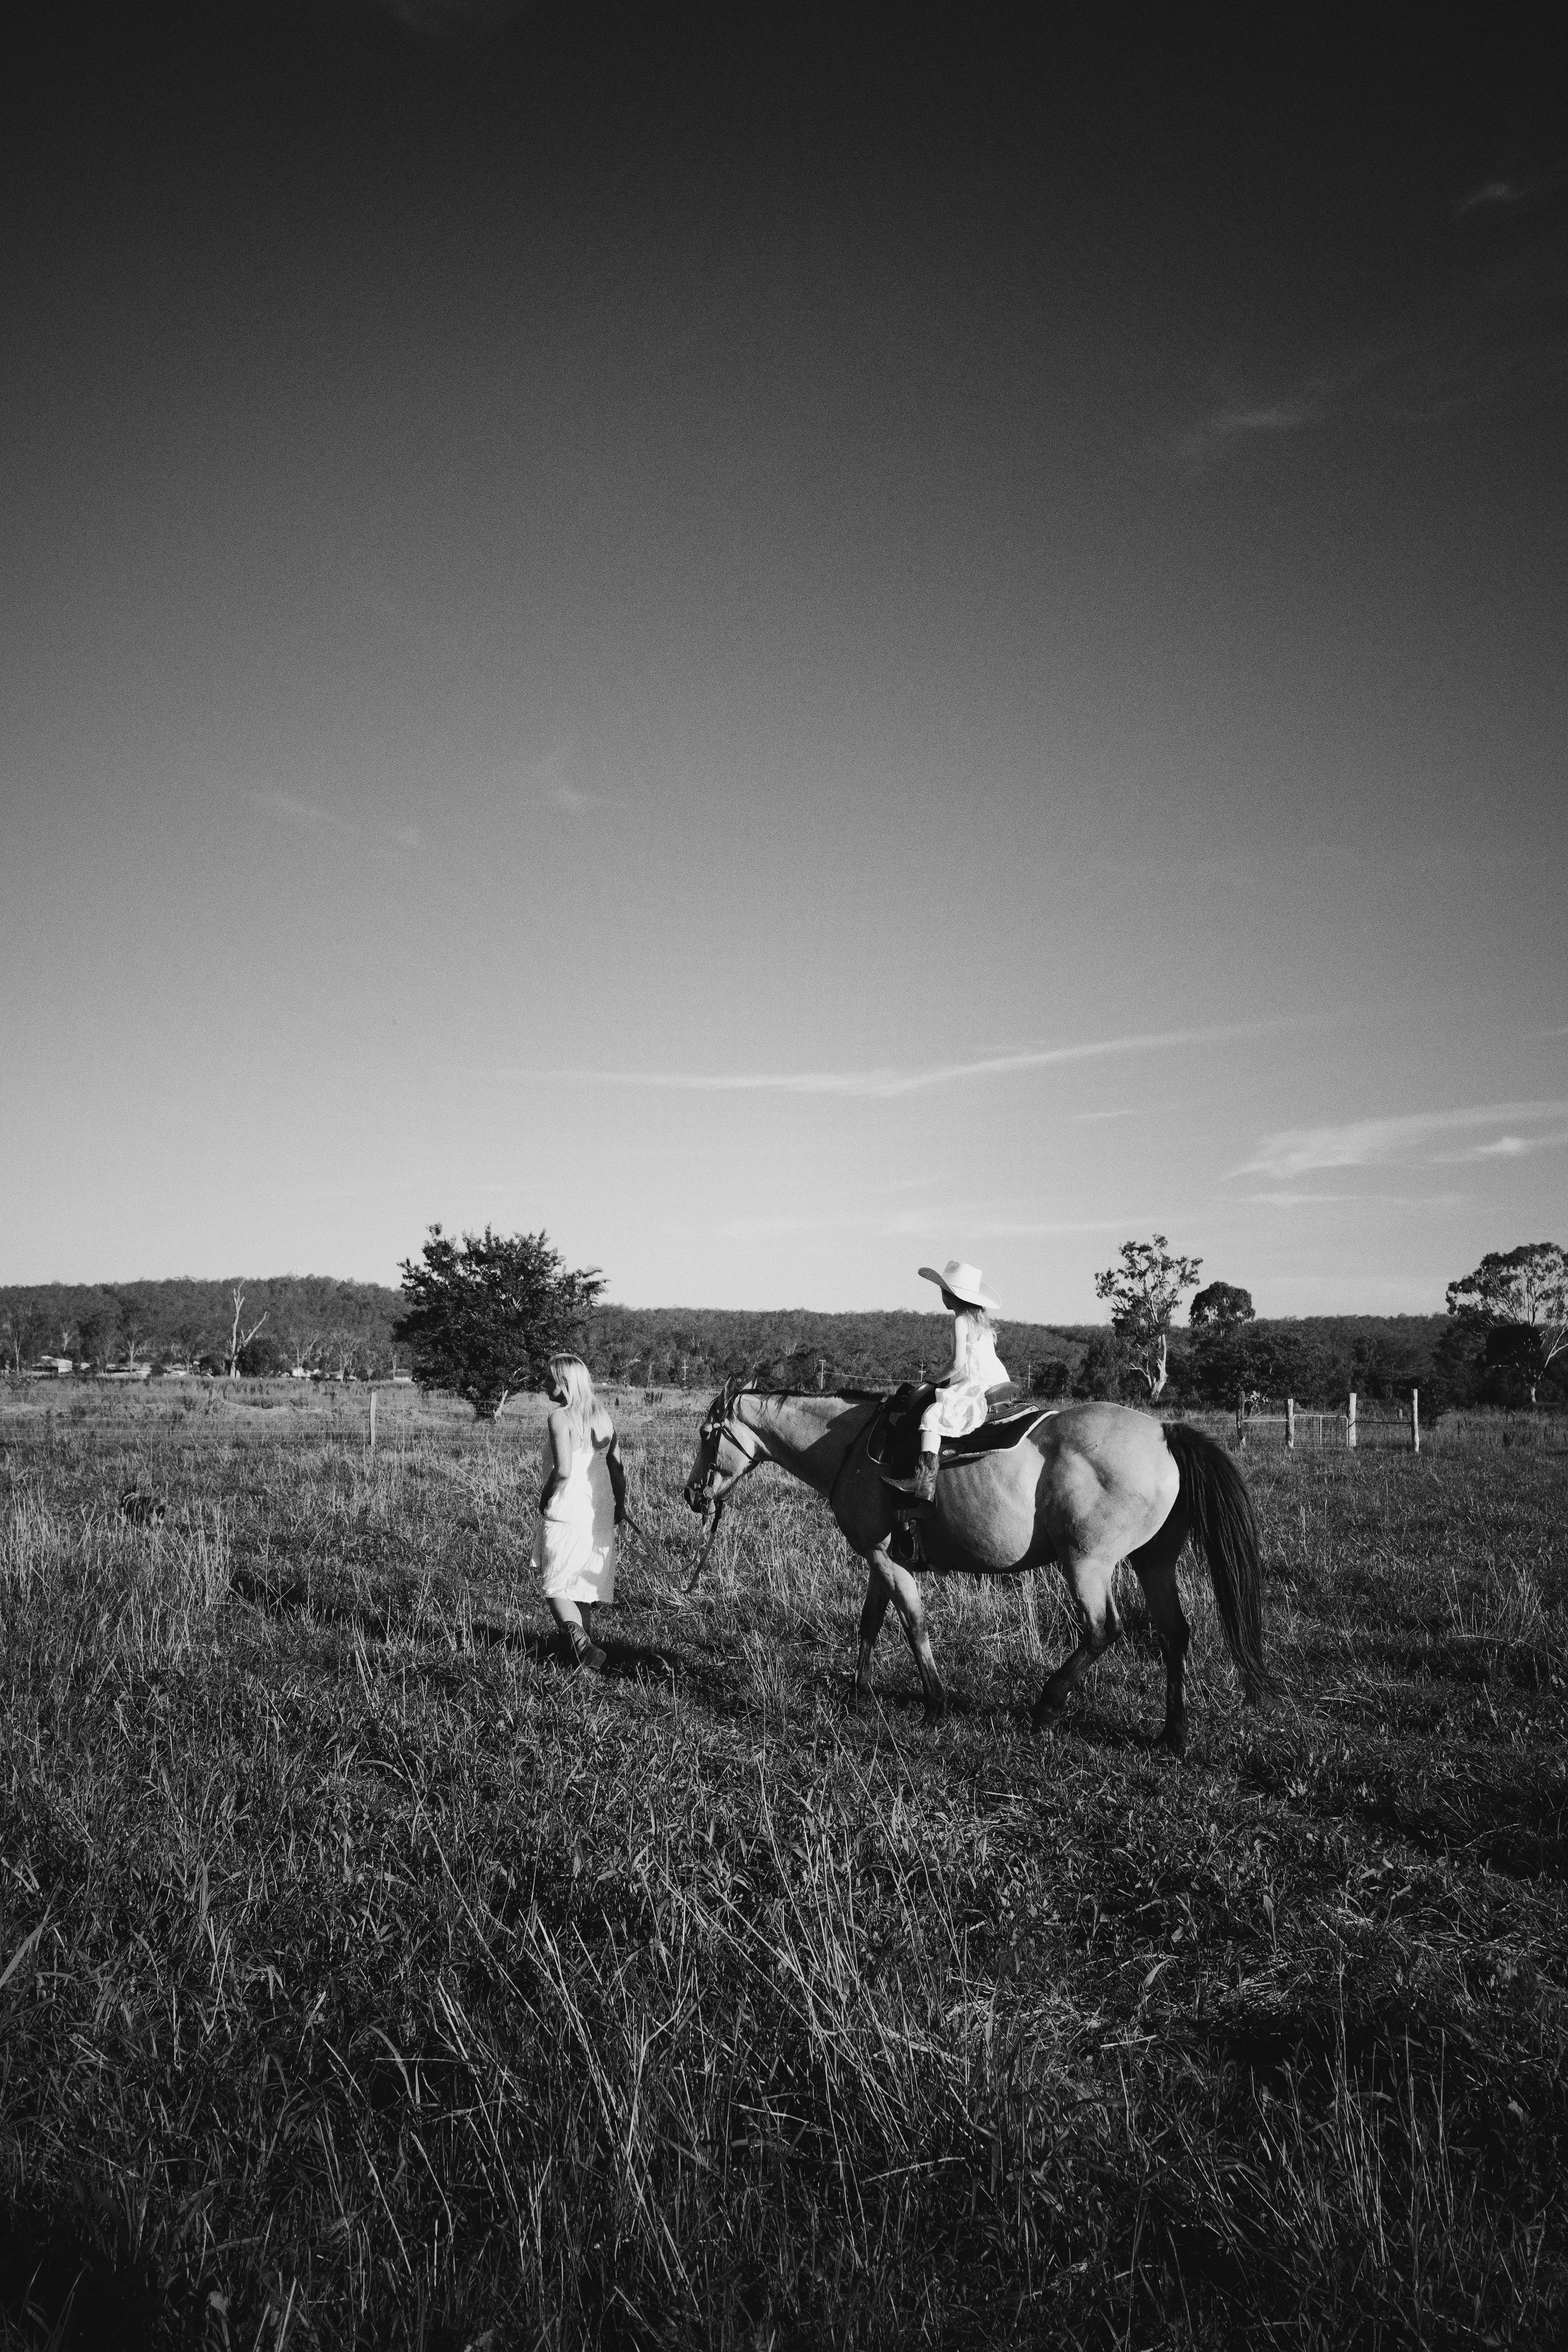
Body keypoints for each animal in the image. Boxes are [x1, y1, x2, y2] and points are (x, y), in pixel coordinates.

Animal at [682, 1380, 1273, 1752]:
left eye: (708, 1435)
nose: (692, 1494)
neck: (851, 1448)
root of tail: (1163, 1432)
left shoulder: (886, 1559)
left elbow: (913, 1624)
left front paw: (934, 1704)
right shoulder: (880, 1558)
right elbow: (870, 1623)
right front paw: (859, 1692)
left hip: (1088, 1564)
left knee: (1103, 1630)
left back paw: (1047, 1707)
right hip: (1153, 1562)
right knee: (1174, 1633)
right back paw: (1172, 1734)